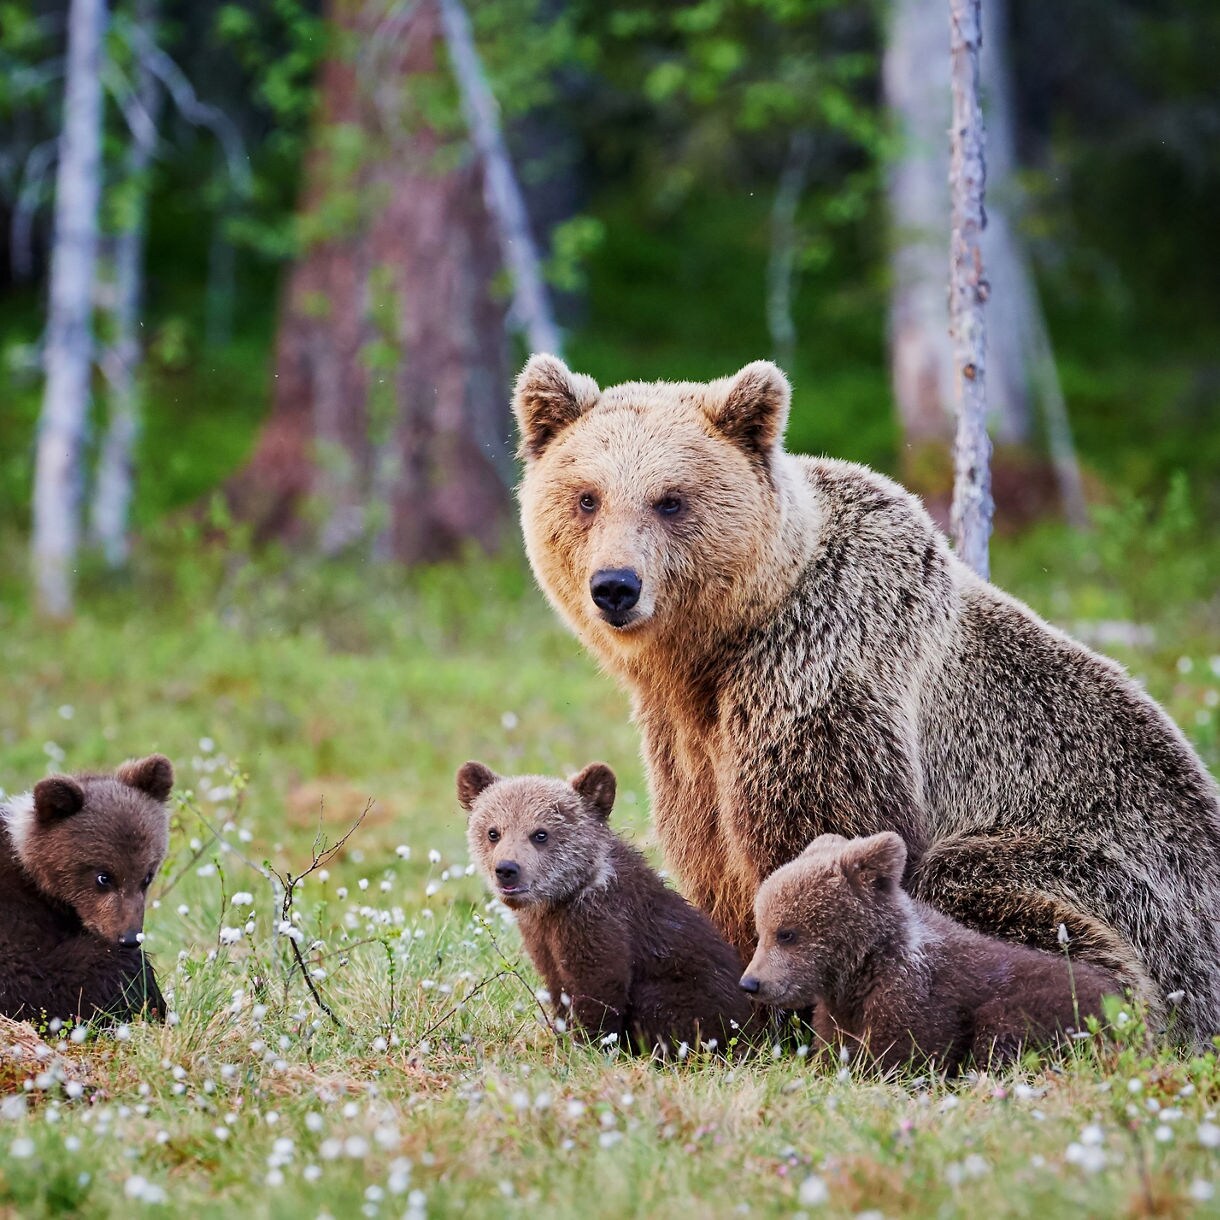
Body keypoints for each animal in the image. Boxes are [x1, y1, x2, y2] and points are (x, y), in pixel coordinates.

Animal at [457, 760, 757, 1055]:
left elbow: (599, 989)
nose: (507, 869)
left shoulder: (597, 924)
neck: (559, 901)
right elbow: (558, 988)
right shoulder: (541, 938)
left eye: (540, 834)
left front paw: (588, 1046)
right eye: (493, 832)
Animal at [512, 352, 1220, 1046]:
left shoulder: (822, 672)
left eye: (670, 500)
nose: (615, 586)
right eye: (587, 497)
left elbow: (821, 840)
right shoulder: (687, 737)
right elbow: (710, 855)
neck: (717, 651)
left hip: (1117, 878)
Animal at [741, 832, 1121, 1072]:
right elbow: (835, 1047)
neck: (859, 973)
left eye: (787, 933)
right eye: (762, 929)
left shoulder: (917, 998)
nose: (751, 982)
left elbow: (904, 1052)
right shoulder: (839, 1010)